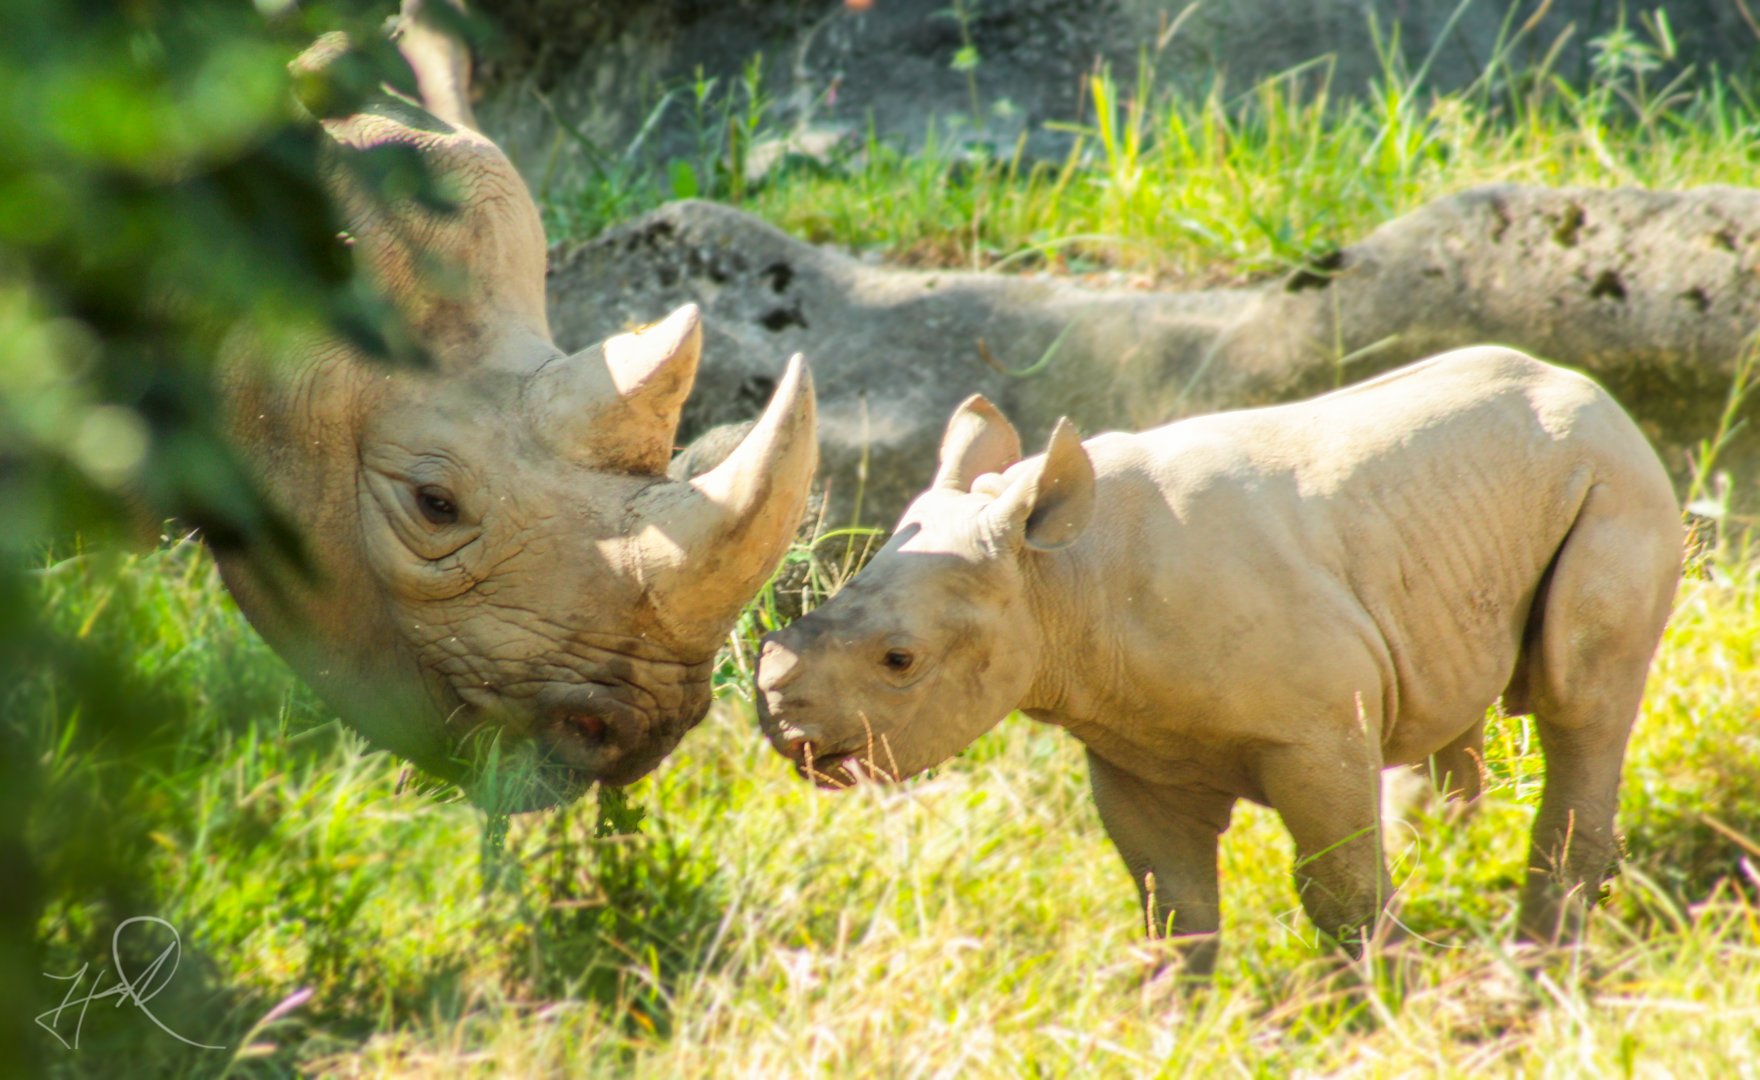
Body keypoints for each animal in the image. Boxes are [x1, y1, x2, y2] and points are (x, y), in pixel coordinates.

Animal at [754, 348, 1681, 972]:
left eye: (898, 660)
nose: (784, 732)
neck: (1057, 577)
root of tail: (1596, 393)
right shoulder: (1132, 745)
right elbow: (1174, 907)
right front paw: (1173, 1026)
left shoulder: (1314, 731)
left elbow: (1339, 888)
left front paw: (1378, 1003)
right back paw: (1462, 883)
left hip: (1617, 485)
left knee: (1579, 701)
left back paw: (1542, 964)